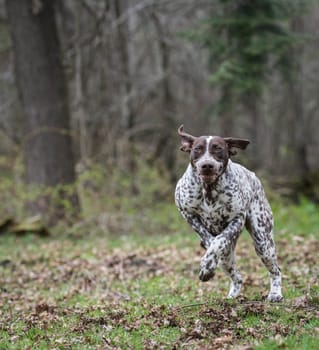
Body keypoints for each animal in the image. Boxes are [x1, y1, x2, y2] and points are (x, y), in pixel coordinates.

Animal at [176, 124, 284, 302]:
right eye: (197, 149)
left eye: (218, 149)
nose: (207, 165)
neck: (209, 190)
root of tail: (253, 177)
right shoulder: (188, 214)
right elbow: (209, 239)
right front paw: (207, 265)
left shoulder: (237, 219)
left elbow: (219, 240)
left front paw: (207, 265)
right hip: (229, 259)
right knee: (237, 276)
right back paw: (232, 295)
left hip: (263, 242)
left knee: (275, 270)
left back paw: (275, 294)